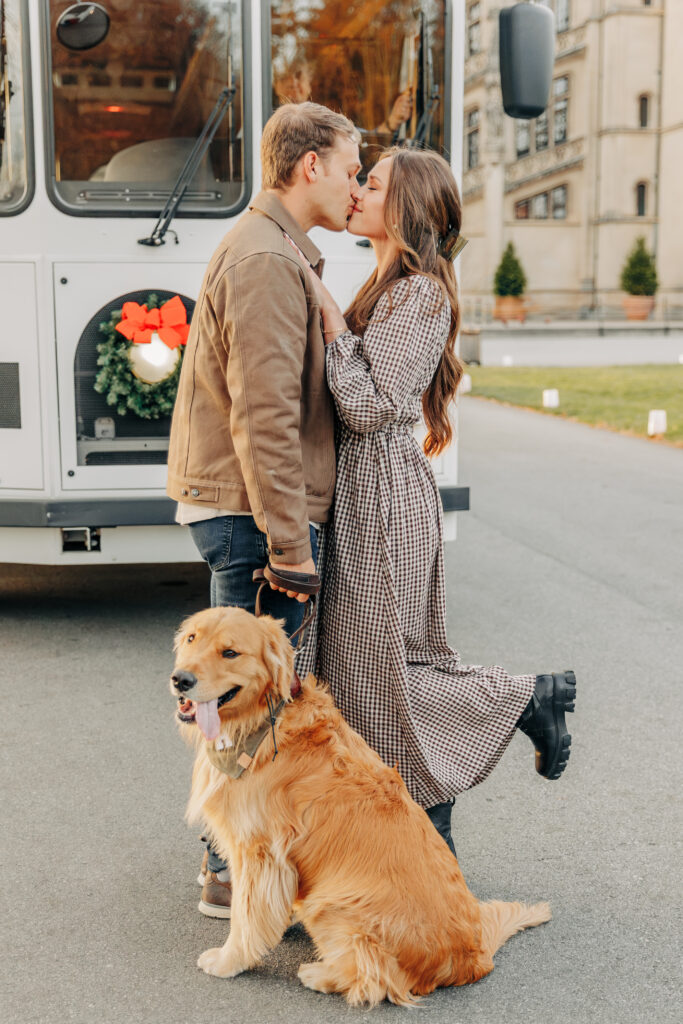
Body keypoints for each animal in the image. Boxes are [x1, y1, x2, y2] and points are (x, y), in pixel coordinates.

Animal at [171, 606, 548, 1007]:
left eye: (230, 653)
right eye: (192, 638)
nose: (180, 679)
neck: (263, 722)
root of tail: (474, 958)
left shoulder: (259, 852)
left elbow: (245, 917)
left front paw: (229, 960)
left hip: (333, 904)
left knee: (377, 978)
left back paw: (319, 974)